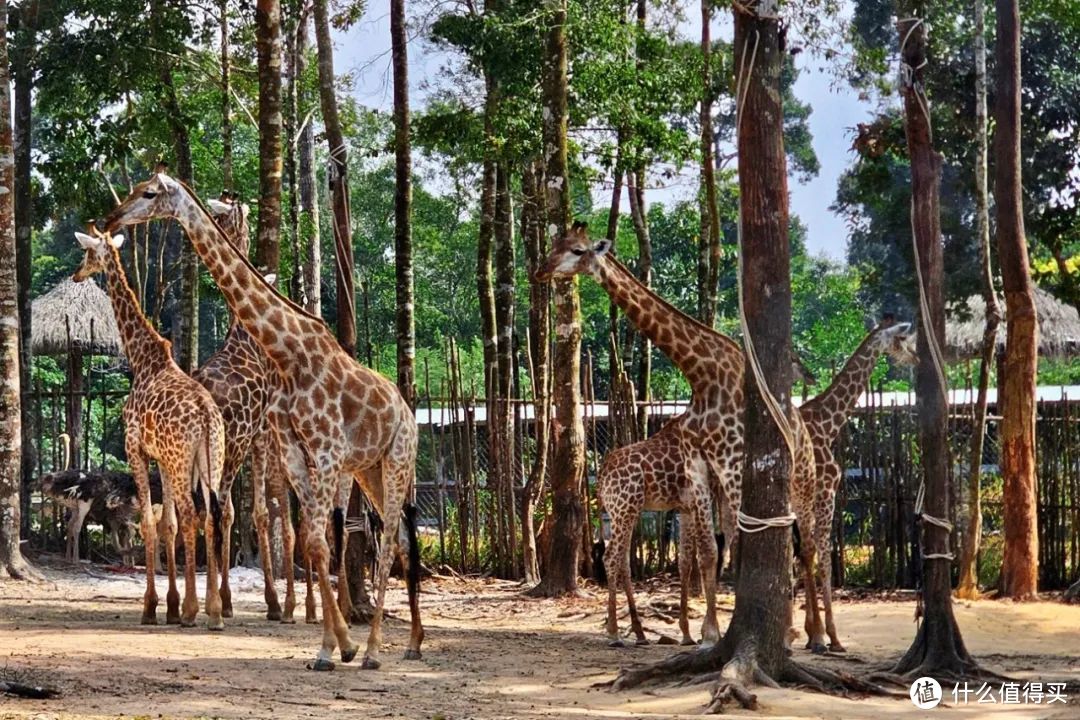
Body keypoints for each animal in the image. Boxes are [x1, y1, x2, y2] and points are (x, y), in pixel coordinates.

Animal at [70, 227, 226, 626]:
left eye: (87, 253)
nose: (77, 275)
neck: (142, 360)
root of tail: (206, 414)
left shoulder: (136, 450)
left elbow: (148, 525)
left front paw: (153, 606)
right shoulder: (163, 460)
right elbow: (168, 524)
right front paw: (171, 604)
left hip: (183, 461)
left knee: (193, 515)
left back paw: (194, 610)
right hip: (210, 461)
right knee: (211, 516)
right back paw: (214, 611)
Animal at [101, 171, 421, 673]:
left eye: (149, 193)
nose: (112, 217)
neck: (285, 352)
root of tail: (407, 412)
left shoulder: (323, 450)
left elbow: (303, 534)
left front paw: (335, 643)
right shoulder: (293, 450)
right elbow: (310, 539)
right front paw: (333, 646)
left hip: (396, 461)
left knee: (390, 538)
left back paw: (376, 650)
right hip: (368, 469)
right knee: (399, 537)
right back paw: (407, 643)